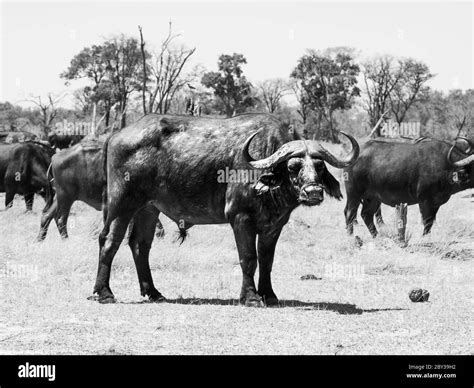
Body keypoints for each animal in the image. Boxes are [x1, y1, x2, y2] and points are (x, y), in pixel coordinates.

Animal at [36, 138, 165, 241]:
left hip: (60, 196)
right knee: (60, 219)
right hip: (66, 197)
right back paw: (66, 240)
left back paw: (40, 239)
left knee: (46, 216)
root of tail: (54, 157)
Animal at [93, 112, 360, 306]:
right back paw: (104, 293)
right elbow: (248, 258)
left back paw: (153, 292)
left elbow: (267, 259)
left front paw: (269, 294)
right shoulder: (240, 218)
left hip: (148, 208)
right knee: (109, 240)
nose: (313, 192)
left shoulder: (274, 225)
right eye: (293, 167)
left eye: (319, 166)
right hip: (122, 203)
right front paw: (251, 297)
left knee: (140, 245)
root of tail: (116, 135)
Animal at [344, 138, 474, 238]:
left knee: (366, 215)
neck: (447, 167)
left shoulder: (436, 203)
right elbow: (427, 222)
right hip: (353, 195)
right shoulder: (425, 201)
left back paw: (376, 236)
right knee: (349, 214)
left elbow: (431, 221)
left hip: (372, 198)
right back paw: (351, 236)